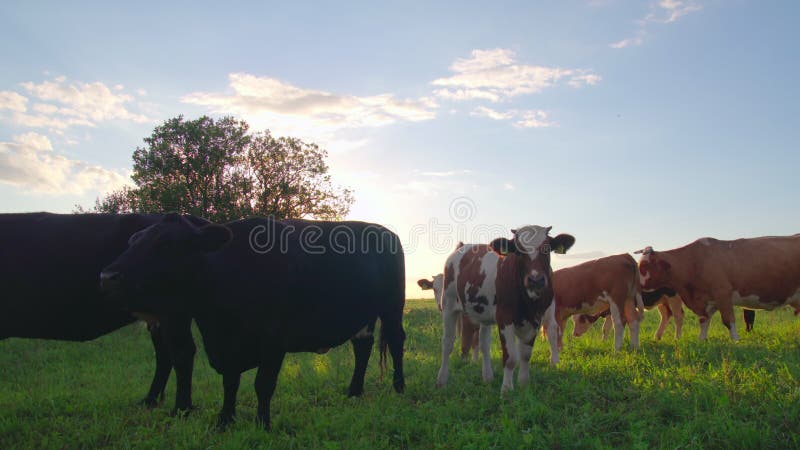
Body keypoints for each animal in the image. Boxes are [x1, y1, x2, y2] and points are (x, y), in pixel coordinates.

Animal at [0, 213, 198, 414]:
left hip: (173, 310)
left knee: (182, 352)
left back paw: (181, 409)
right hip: (158, 317)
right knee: (165, 354)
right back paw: (149, 401)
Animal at [101, 214, 406, 428]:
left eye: (165, 244)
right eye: (132, 242)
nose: (107, 277)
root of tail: (384, 231)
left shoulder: (274, 341)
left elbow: (263, 384)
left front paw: (262, 423)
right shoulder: (226, 346)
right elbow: (230, 383)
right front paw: (225, 419)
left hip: (392, 307)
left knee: (396, 342)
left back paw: (399, 387)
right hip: (363, 315)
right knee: (362, 347)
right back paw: (353, 392)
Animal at [438, 227, 576, 392]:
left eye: (547, 249)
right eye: (518, 251)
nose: (535, 280)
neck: (528, 303)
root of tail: (463, 246)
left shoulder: (535, 319)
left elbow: (525, 354)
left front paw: (523, 384)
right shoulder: (505, 318)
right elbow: (510, 358)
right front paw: (507, 389)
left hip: (484, 313)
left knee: (484, 344)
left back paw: (487, 377)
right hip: (448, 304)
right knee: (447, 343)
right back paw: (442, 380)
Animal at [636, 236, 800, 342]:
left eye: (644, 266)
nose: (636, 286)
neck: (694, 262)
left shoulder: (723, 295)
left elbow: (728, 320)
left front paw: (735, 341)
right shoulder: (707, 300)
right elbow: (703, 320)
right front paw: (701, 340)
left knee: (676, 315)